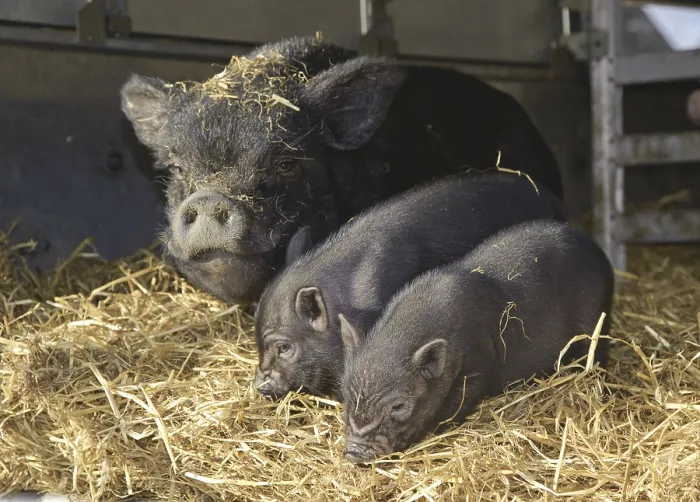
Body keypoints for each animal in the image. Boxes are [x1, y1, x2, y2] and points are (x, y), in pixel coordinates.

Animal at [339, 219, 614, 463]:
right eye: (345, 396)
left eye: (398, 406)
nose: (354, 454)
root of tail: (594, 248)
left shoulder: (479, 363)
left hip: (596, 319)